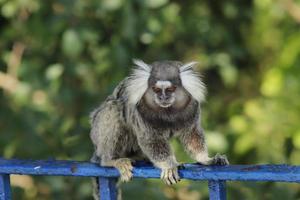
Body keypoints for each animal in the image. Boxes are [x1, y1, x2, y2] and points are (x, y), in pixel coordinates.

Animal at [89, 60, 227, 199]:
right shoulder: (140, 110)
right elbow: (151, 140)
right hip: (97, 133)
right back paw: (110, 160)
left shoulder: (192, 106)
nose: (163, 97)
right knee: (113, 110)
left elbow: (192, 135)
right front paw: (169, 165)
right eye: (156, 90)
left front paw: (206, 159)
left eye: (170, 89)